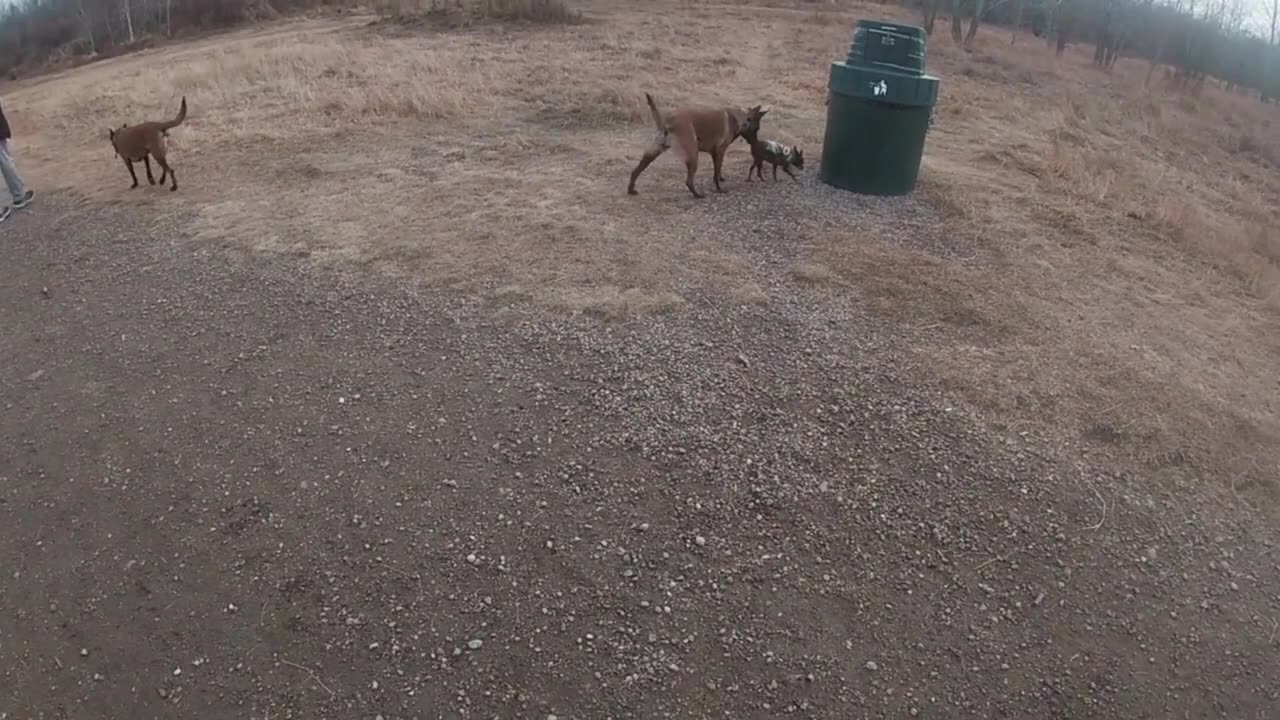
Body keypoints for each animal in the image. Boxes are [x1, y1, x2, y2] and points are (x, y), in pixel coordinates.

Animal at [627, 92, 762, 198]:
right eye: (756, 128)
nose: (754, 142)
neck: (736, 116)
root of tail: (667, 122)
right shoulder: (720, 151)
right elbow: (716, 173)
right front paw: (719, 189)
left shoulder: (715, 153)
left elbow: (718, 171)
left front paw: (721, 179)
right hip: (693, 154)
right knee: (688, 181)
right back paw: (698, 195)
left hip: (653, 152)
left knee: (636, 171)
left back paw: (631, 189)